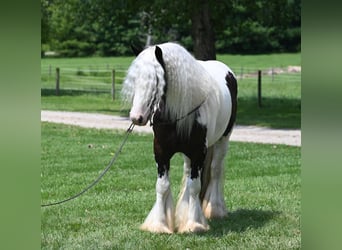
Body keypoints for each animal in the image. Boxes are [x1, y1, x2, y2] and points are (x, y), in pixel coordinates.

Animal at [122, 42, 238, 232]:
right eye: (135, 78)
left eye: (157, 80)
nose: (136, 117)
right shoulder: (161, 153)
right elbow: (162, 186)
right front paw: (159, 225)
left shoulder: (198, 153)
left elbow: (195, 187)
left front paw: (193, 224)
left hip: (223, 140)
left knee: (215, 170)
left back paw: (215, 210)